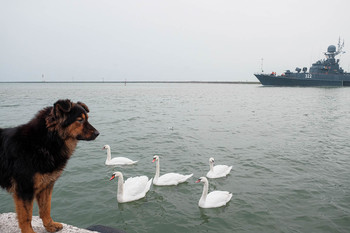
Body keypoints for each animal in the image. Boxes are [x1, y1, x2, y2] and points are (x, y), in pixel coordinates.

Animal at [0, 99, 99, 232]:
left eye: (87, 119)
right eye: (80, 120)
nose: (98, 133)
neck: (44, 141)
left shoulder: (47, 184)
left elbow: (46, 208)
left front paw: (49, 225)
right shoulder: (25, 189)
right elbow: (26, 216)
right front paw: (29, 231)